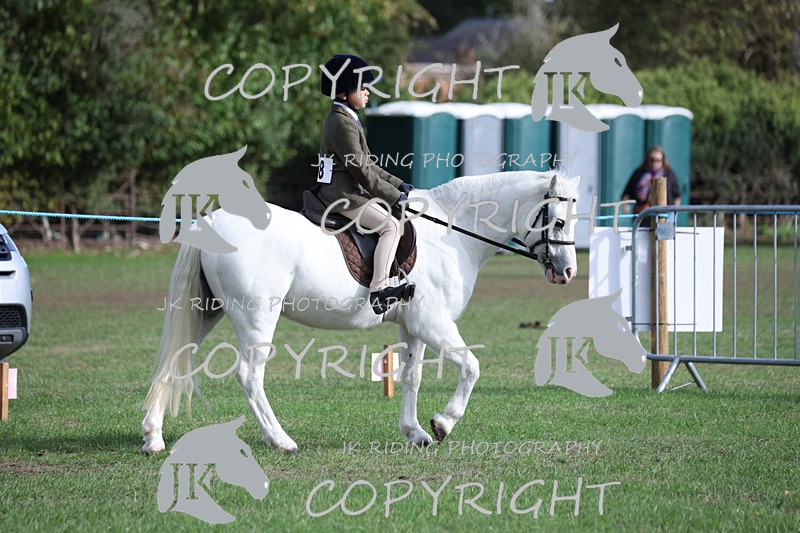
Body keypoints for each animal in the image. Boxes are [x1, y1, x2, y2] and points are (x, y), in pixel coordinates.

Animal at [142, 167, 580, 455]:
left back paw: (153, 437)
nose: (567, 273)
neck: (452, 235)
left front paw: (416, 433)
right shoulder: (433, 322)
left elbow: (411, 377)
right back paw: (281, 440)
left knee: (172, 361)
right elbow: (471, 366)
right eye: (558, 221)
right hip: (256, 318)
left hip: (207, 311)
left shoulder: (413, 326)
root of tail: (210, 223)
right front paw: (443, 423)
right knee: (250, 376)